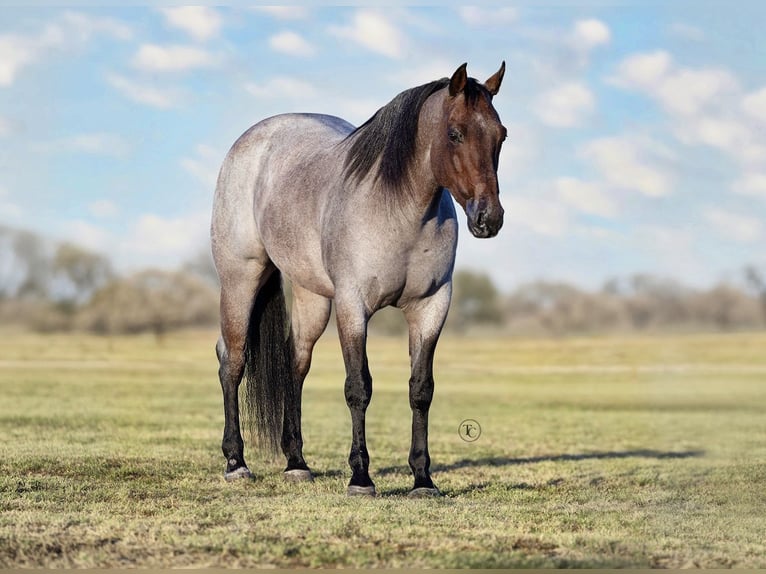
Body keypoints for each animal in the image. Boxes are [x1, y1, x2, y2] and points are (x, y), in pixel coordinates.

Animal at [211, 62, 506, 497]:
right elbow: (358, 388)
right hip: (240, 278)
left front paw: (422, 479)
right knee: (232, 359)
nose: (489, 218)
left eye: (501, 135)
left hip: (312, 297)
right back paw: (236, 461)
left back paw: (296, 463)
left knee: (296, 363)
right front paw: (361, 477)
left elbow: (421, 390)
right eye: (455, 133)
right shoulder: (353, 307)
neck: (399, 210)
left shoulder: (432, 307)